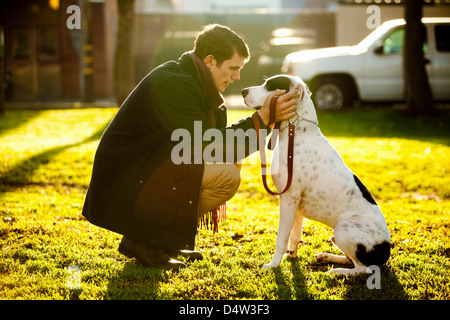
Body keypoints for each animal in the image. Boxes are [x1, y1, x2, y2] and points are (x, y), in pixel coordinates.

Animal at [243, 75, 390, 276]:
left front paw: (274, 265)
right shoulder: (295, 204)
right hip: (337, 235)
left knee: (364, 269)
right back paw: (327, 257)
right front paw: (292, 256)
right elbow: (294, 235)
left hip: (343, 228)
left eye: (270, 85)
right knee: (351, 260)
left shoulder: (289, 198)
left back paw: (336, 271)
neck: (296, 129)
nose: (243, 91)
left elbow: (282, 237)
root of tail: (387, 250)